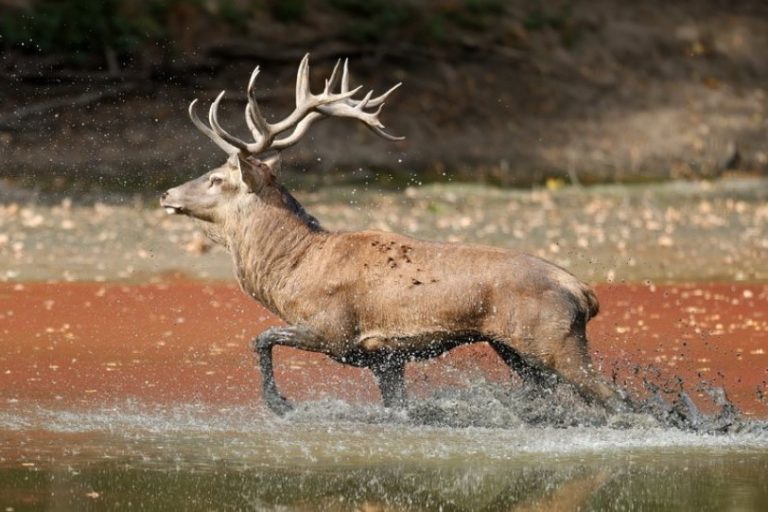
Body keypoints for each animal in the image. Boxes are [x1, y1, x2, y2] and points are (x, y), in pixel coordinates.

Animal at [159, 55, 628, 416]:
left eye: (217, 178)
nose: (166, 193)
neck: (292, 272)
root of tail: (583, 291)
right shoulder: (385, 357)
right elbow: (397, 406)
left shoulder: (332, 329)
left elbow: (261, 339)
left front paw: (280, 404)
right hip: (514, 348)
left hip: (554, 339)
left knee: (614, 396)